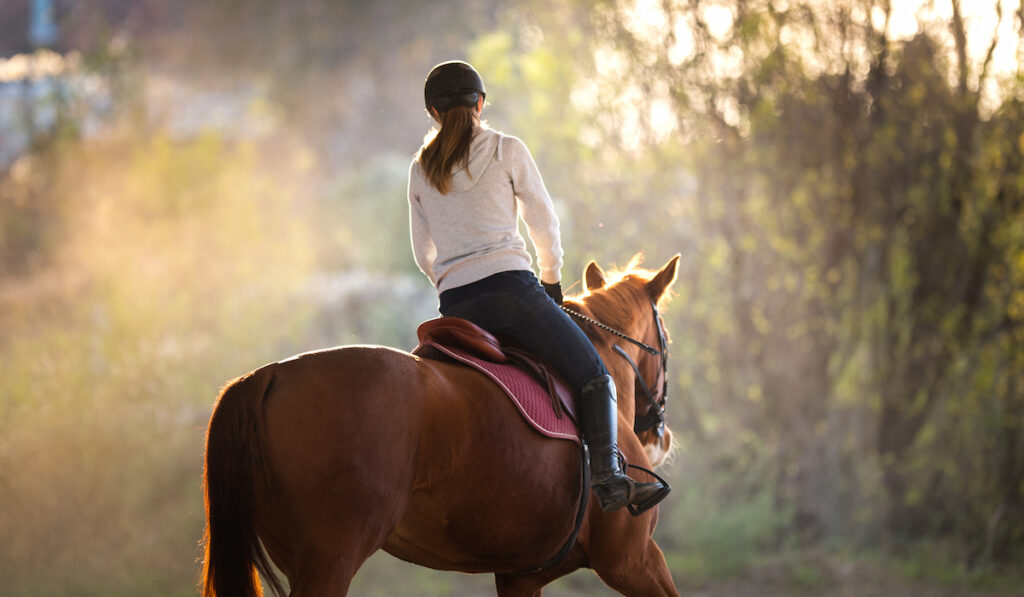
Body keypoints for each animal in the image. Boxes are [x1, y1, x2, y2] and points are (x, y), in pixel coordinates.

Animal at [198, 254, 679, 593]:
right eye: (666, 341)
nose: (660, 435)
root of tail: (269, 375)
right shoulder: (633, 560)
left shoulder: (520, 576)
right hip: (329, 559)